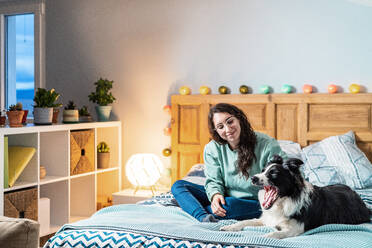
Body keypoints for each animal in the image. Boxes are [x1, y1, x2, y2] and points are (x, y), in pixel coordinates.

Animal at [219, 155, 370, 238]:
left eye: (273, 173)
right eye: (263, 171)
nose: (253, 178)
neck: (284, 202)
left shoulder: (296, 229)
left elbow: (276, 233)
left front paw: (266, 236)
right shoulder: (267, 220)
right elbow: (245, 221)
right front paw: (230, 227)